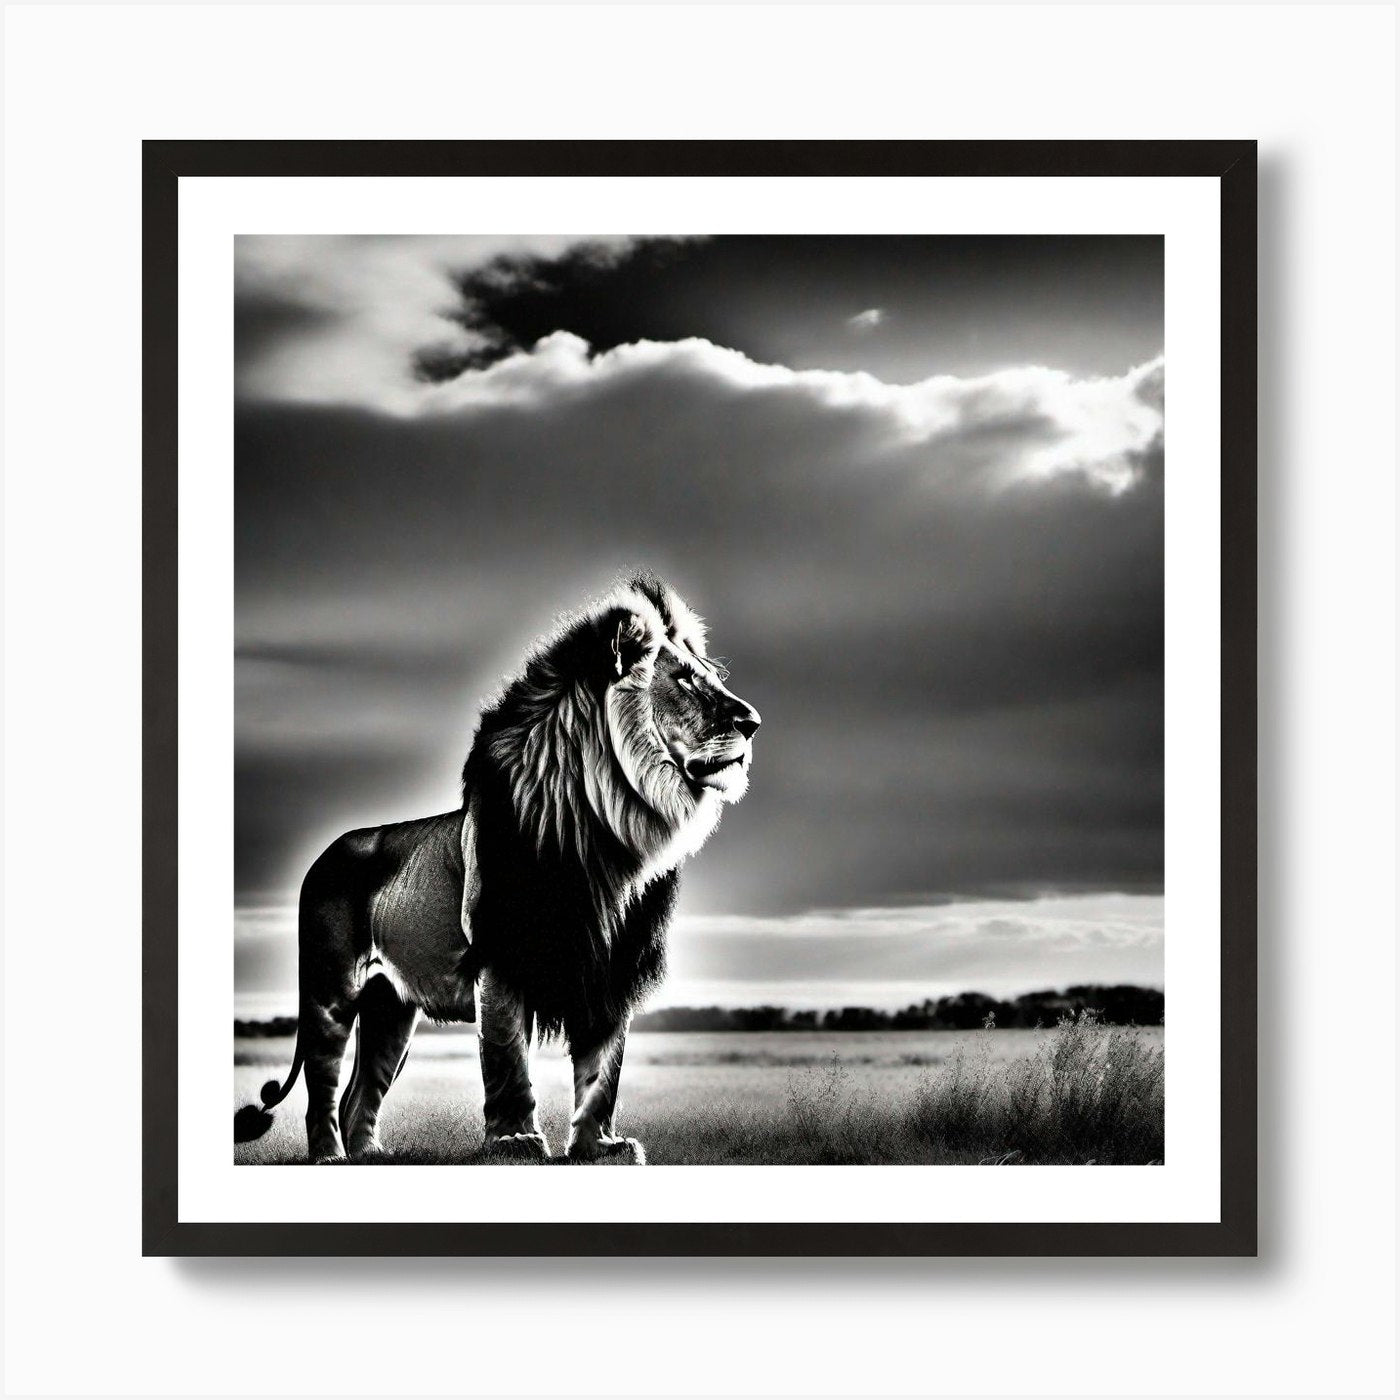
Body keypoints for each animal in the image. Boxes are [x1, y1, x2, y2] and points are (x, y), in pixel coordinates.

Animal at [234, 573, 760, 1163]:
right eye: (685, 679)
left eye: (710, 675)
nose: (753, 722)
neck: (602, 834)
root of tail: (321, 857)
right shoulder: (501, 955)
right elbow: (508, 1055)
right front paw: (516, 1142)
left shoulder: (610, 966)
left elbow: (604, 1067)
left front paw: (600, 1147)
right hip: (331, 993)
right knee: (323, 1086)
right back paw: (329, 1157)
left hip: (391, 1008)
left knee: (359, 1093)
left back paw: (371, 1157)